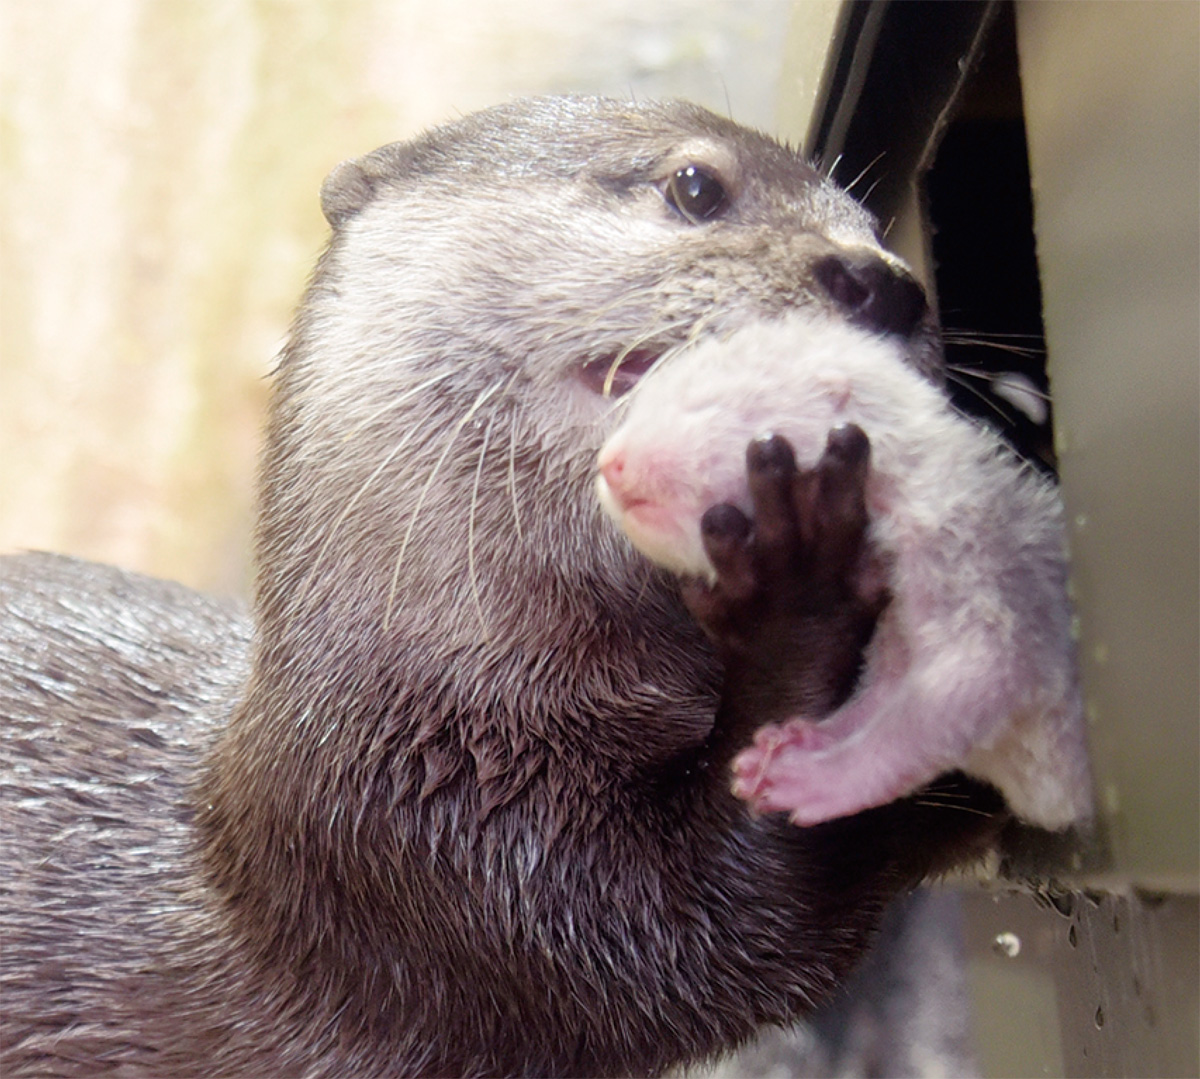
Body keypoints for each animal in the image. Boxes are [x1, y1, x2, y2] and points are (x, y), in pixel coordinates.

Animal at [2, 97, 1003, 1075]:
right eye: (694, 185)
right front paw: (807, 586)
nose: (885, 283)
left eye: (877, 227)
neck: (444, 712)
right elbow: (715, 931)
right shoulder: (430, 860)